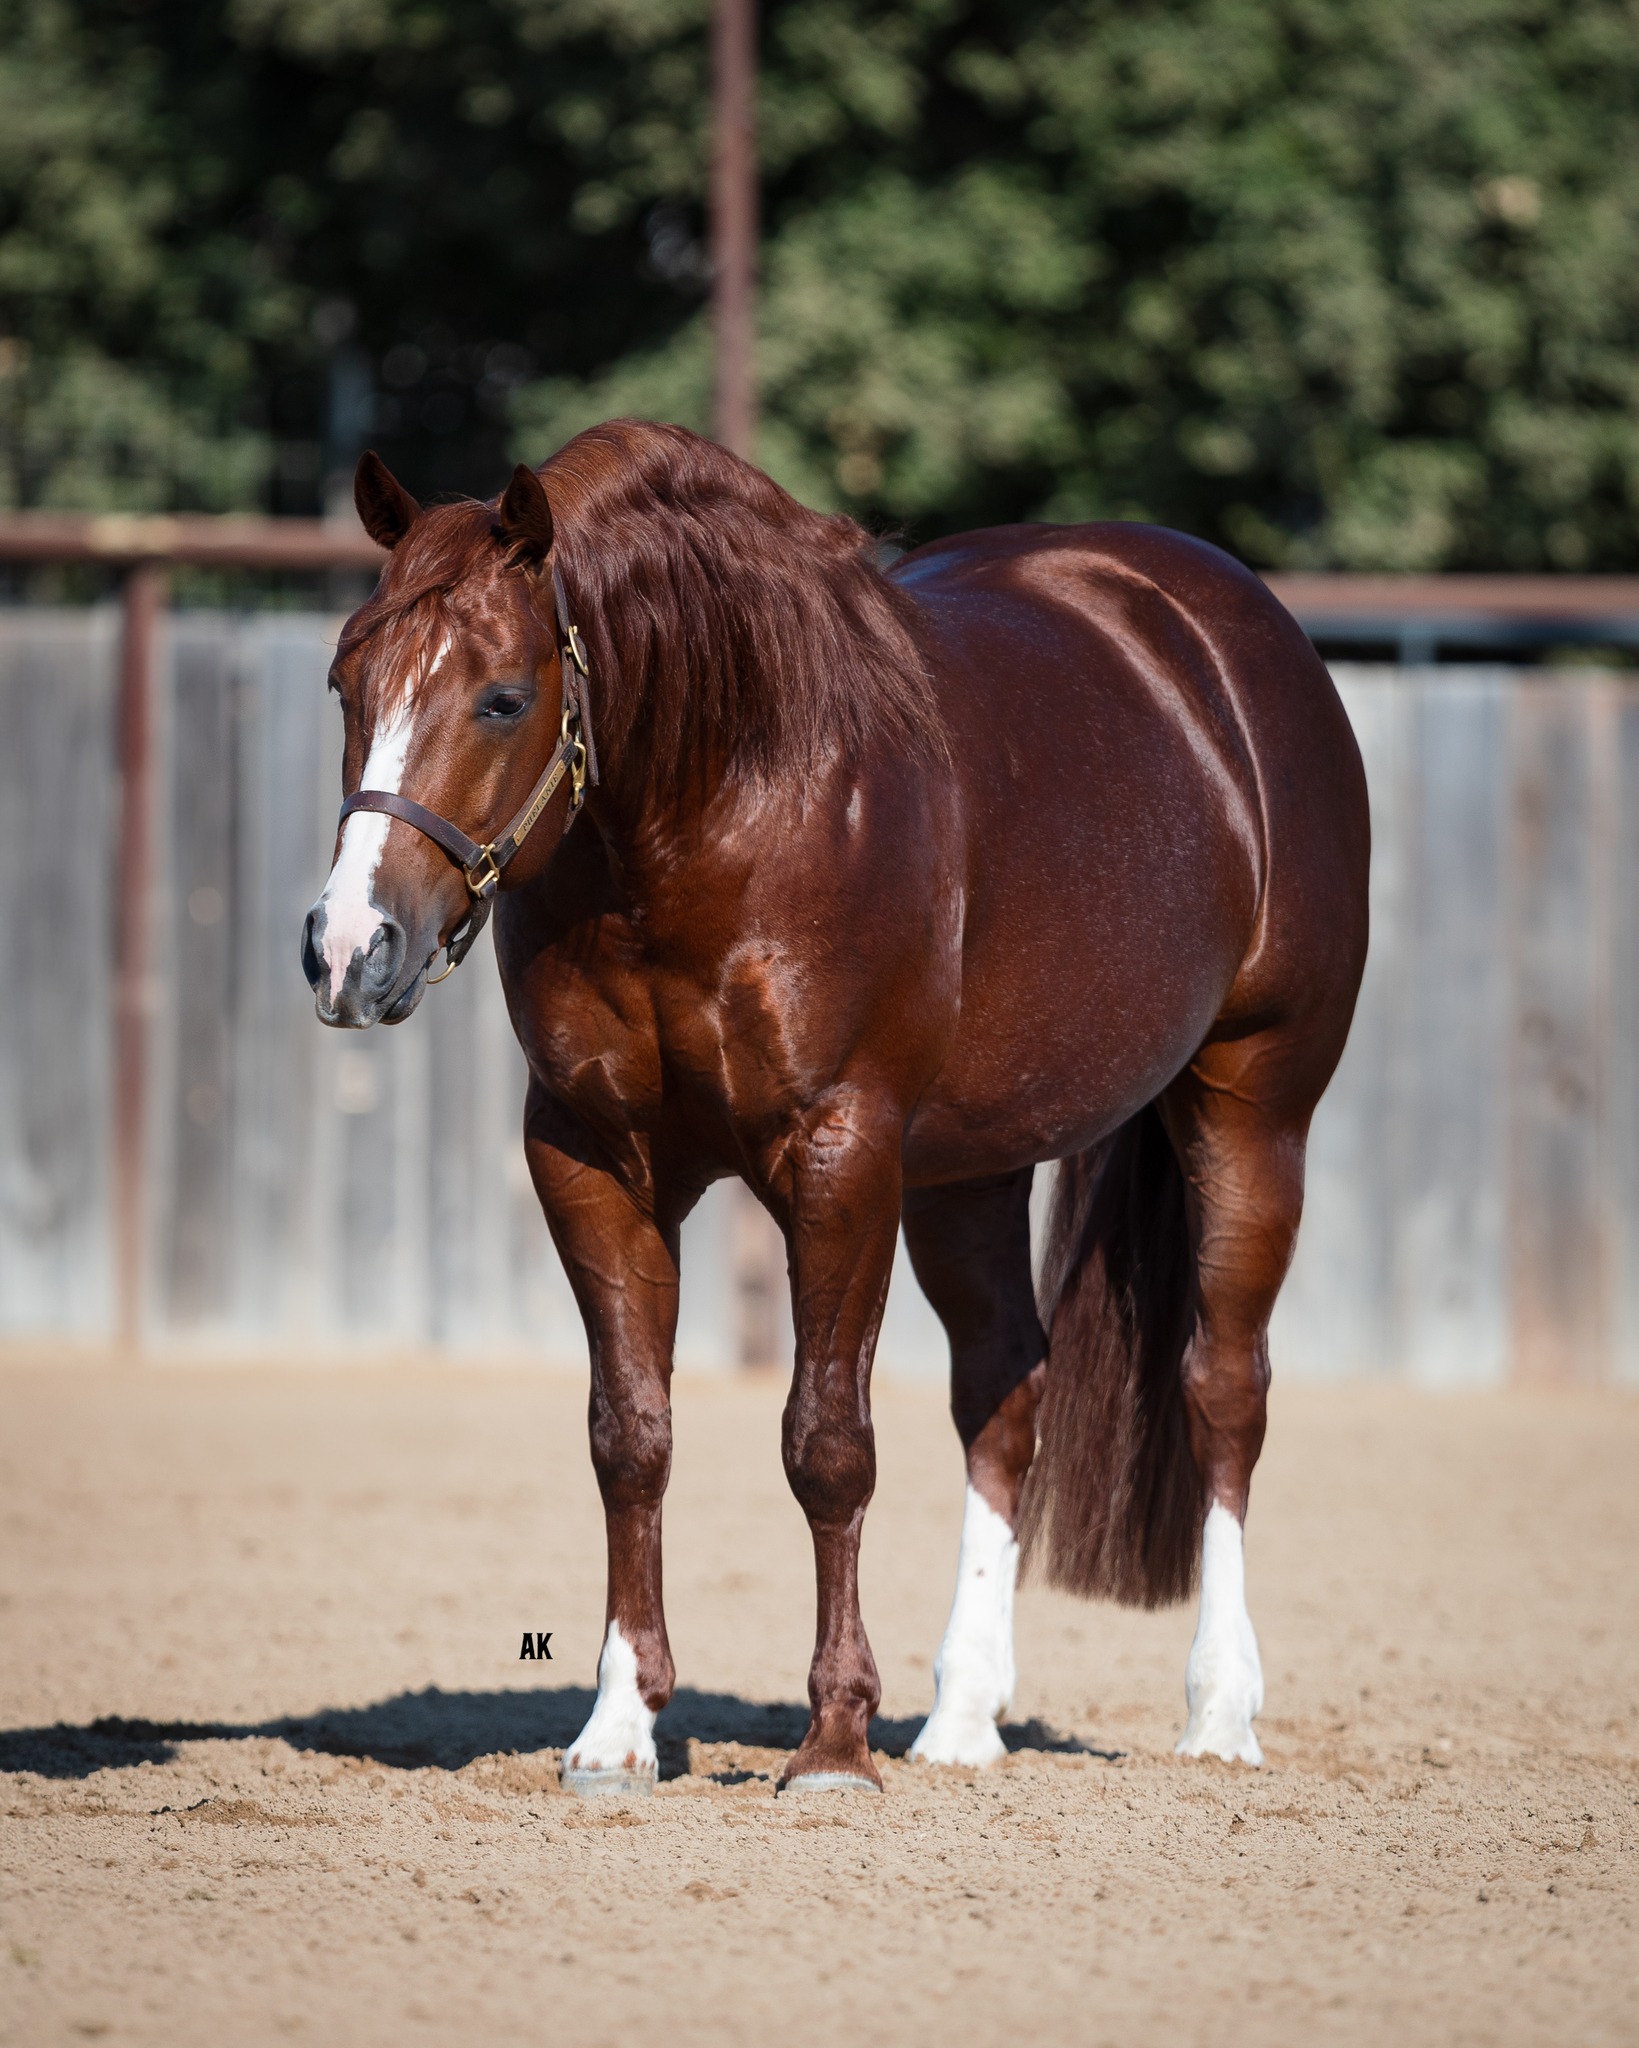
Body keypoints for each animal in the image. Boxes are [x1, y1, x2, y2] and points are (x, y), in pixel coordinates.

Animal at [302, 420, 1369, 1794]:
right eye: (347, 682)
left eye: (500, 695)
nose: (349, 948)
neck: (726, 805)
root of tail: (1234, 637)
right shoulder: (590, 1159)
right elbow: (628, 1436)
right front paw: (618, 1726)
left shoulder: (840, 1155)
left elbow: (827, 1441)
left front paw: (832, 1741)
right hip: (971, 1169)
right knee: (1003, 1392)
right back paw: (962, 1718)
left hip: (1251, 1106)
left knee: (1222, 1386)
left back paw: (1218, 1712)